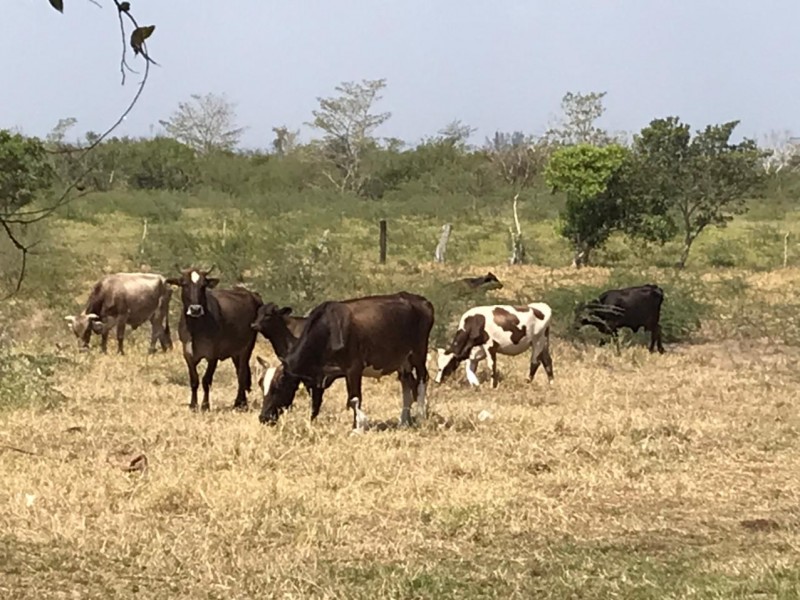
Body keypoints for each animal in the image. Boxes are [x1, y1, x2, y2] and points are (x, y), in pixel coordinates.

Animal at [166, 268, 262, 412]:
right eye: (184, 284)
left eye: (203, 286)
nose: (195, 309)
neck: (196, 329)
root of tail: (252, 294)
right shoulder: (187, 354)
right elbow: (194, 380)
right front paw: (193, 405)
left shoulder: (213, 355)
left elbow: (206, 380)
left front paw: (205, 405)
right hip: (235, 351)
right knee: (240, 372)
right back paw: (241, 402)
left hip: (247, 347)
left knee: (242, 373)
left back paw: (239, 403)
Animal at [260, 292, 434, 428]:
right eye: (262, 385)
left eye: (277, 387)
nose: (263, 417)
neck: (329, 330)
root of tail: (421, 300)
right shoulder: (317, 377)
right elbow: (315, 404)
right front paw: (311, 424)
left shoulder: (353, 369)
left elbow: (354, 399)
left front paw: (357, 427)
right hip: (403, 361)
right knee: (406, 383)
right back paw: (404, 421)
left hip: (418, 354)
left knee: (422, 380)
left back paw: (421, 416)